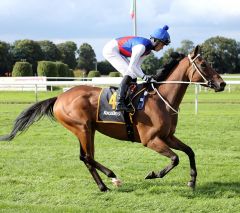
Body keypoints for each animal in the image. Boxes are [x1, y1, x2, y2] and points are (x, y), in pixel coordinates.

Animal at [0, 45, 225, 191]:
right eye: (203, 65)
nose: (222, 84)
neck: (161, 100)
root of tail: (60, 97)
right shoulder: (150, 140)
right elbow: (175, 158)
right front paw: (154, 174)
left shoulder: (168, 136)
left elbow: (190, 151)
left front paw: (192, 181)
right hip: (82, 128)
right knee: (87, 157)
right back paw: (113, 178)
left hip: (87, 129)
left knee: (85, 157)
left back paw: (103, 186)